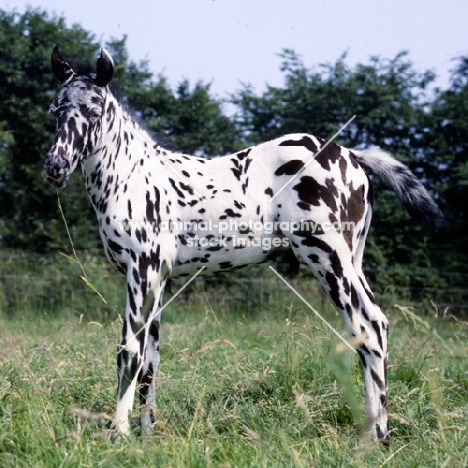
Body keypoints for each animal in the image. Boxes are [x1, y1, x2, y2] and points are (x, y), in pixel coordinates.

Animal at [44, 45, 446, 440]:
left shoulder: (141, 271)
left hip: (330, 261)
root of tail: (352, 156)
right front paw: (147, 432)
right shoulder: (158, 278)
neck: (134, 178)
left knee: (371, 328)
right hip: (351, 260)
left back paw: (374, 435)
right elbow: (151, 358)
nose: (55, 166)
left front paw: (120, 433)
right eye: (55, 108)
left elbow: (129, 351)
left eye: (94, 109)